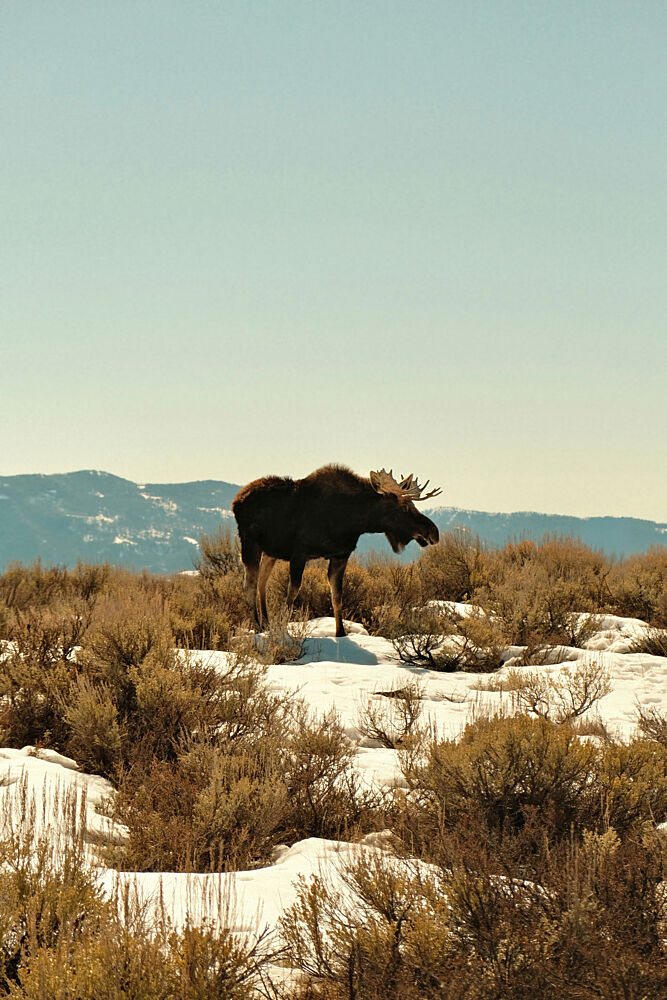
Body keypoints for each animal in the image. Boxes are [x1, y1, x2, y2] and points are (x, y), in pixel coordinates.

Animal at [231, 464, 442, 637]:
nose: (434, 532)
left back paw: (266, 623)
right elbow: (292, 593)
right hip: (250, 543)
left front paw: (340, 632)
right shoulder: (299, 553)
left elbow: (337, 595)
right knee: (250, 584)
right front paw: (283, 628)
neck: (354, 520)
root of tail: (236, 500)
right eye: (404, 507)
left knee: (261, 582)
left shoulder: (341, 555)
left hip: (270, 552)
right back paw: (258, 625)